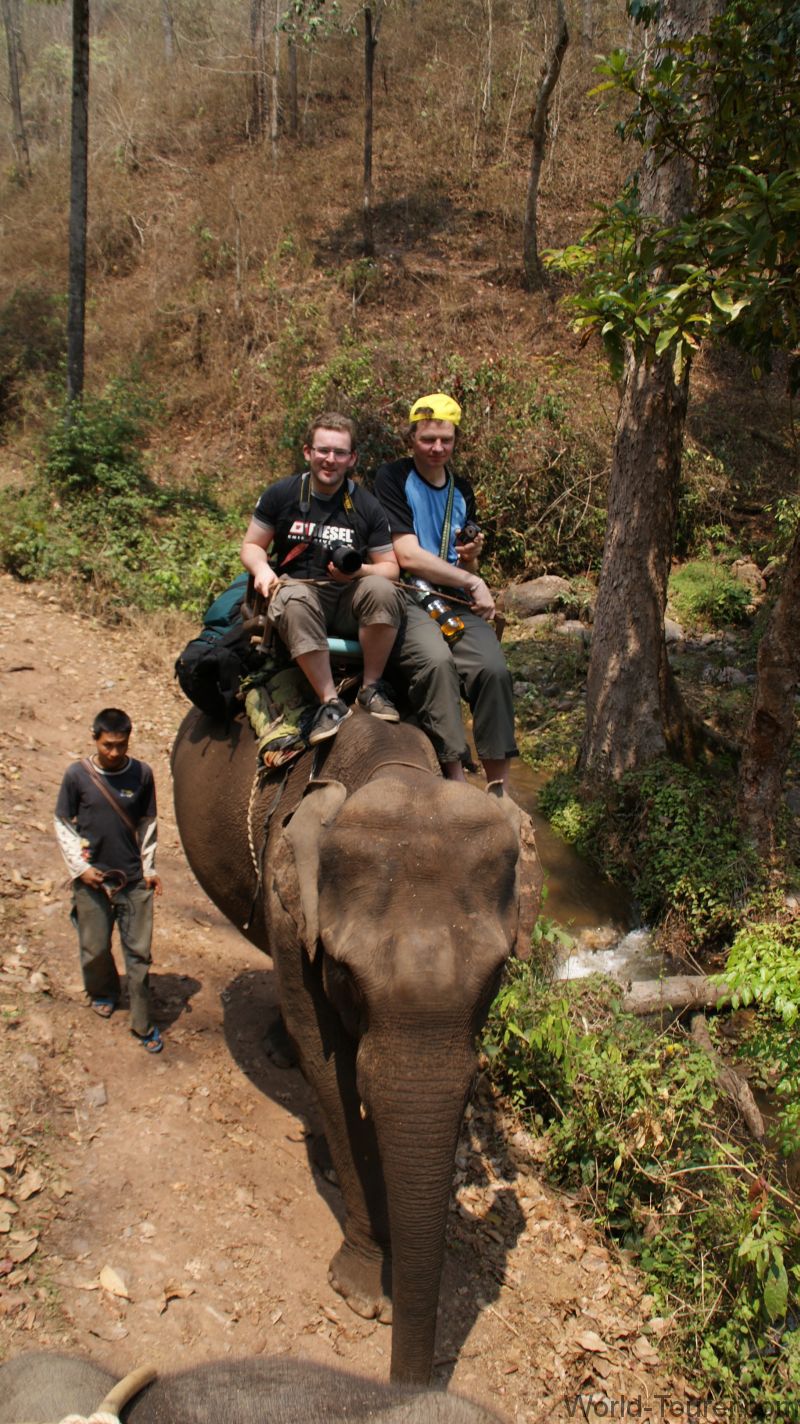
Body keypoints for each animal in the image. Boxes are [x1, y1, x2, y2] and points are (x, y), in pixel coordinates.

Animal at [171, 708, 541, 1385]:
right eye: (344, 972)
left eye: (497, 972)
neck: (397, 770)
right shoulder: (293, 911)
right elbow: (332, 1071)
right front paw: (364, 1292)